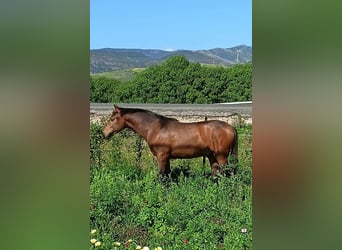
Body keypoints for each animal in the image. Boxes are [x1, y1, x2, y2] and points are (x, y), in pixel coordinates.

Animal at [103, 105, 239, 178]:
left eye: (112, 119)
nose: (104, 133)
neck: (155, 127)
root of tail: (231, 127)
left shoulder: (162, 156)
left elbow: (162, 176)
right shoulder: (166, 157)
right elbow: (167, 175)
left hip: (221, 156)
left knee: (228, 173)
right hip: (212, 156)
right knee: (217, 173)